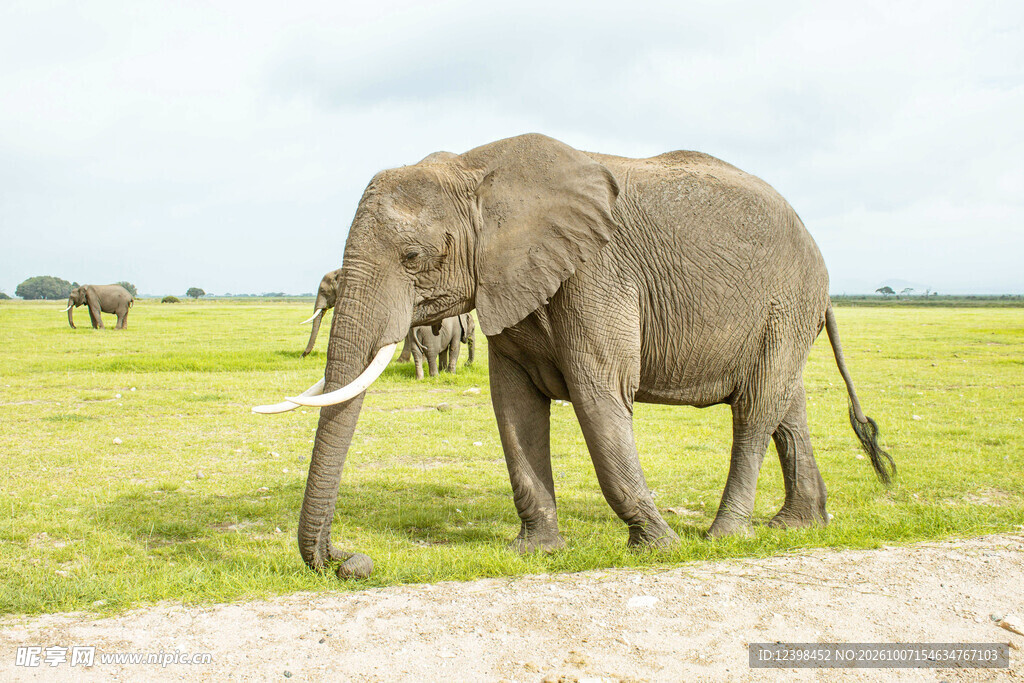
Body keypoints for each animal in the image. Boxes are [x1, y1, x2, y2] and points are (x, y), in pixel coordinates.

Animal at [255, 133, 895, 578]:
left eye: (413, 258)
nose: (350, 561)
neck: (475, 169)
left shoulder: (595, 272)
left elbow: (599, 392)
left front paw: (658, 545)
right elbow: (513, 407)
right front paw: (535, 551)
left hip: (785, 301)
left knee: (756, 408)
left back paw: (724, 537)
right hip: (783, 312)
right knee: (788, 405)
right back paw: (797, 524)